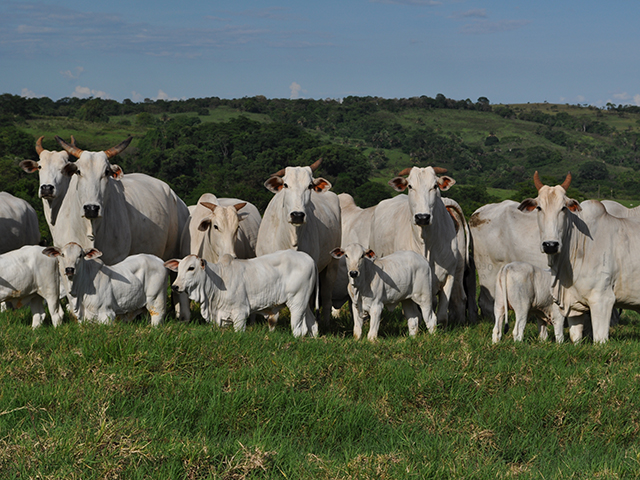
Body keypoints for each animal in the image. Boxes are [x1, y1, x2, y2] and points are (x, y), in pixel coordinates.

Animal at [162, 251, 318, 338]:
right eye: (179, 268)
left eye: (191, 268)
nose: (175, 286)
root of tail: (308, 257)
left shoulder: (240, 312)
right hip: (304, 304)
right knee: (313, 324)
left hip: (297, 302)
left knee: (299, 329)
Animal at [254, 159, 340, 328]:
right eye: (286, 185)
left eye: (310, 186)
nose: (297, 215)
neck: (290, 238)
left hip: (331, 265)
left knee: (326, 296)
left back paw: (325, 322)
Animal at [370, 167, 464, 328]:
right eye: (410, 186)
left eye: (435, 186)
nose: (422, 217)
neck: (426, 244)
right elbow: (415, 315)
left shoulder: (449, 275)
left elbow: (442, 315)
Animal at [516, 174, 640, 344]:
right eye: (539, 208)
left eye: (563, 208)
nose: (550, 245)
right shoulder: (574, 306)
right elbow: (575, 337)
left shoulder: (602, 300)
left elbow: (599, 339)